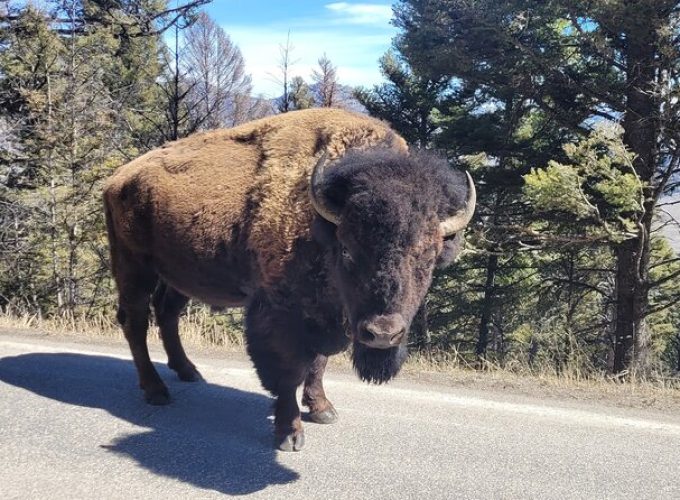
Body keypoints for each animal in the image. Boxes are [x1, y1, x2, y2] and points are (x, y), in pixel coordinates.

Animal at [103, 109, 476, 454]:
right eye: (347, 249)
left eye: (427, 257)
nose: (383, 333)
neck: (319, 224)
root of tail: (117, 179)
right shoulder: (280, 315)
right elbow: (288, 371)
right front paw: (290, 434)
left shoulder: (332, 318)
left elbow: (318, 365)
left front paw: (323, 409)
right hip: (134, 267)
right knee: (135, 322)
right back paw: (157, 391)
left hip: (180, 274)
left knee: (167, 314)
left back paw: (188, 371)